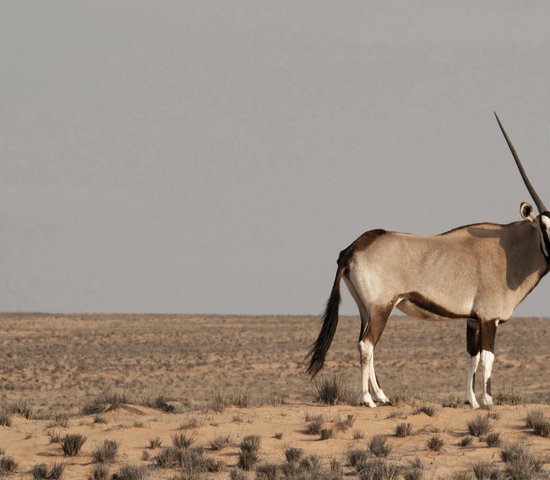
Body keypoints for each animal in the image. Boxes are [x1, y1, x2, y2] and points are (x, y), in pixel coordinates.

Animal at [308, 113, 548, 408]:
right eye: (545, 226)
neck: (509, 251)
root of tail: (353, 247)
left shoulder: (472, 320)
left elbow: (472, 358)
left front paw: (472, 401)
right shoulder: (488, 319)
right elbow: (488, 358)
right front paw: (488, 402)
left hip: (367, 310)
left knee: (366, 344)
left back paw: (383, 396)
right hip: (381, 308)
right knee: (367, 345)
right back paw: (368, 399)